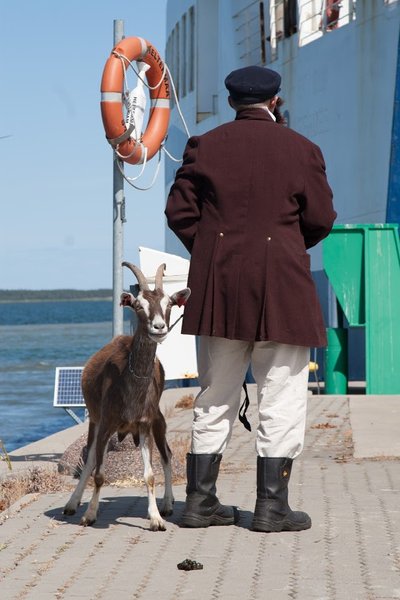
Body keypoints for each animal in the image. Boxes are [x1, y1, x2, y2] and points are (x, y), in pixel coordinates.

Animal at [63, 262, 191, 528]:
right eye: (139, 305)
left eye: (169, 304)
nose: (159, 327)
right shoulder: (106, 423)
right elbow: (98, 473)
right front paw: (90, 514)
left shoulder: (145, 424)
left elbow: (150, 474)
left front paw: (156, 518)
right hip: (95, 420)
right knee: (89, 460)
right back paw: (72, 504)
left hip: (158, 420)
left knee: (167, 455)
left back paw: (167, 504)